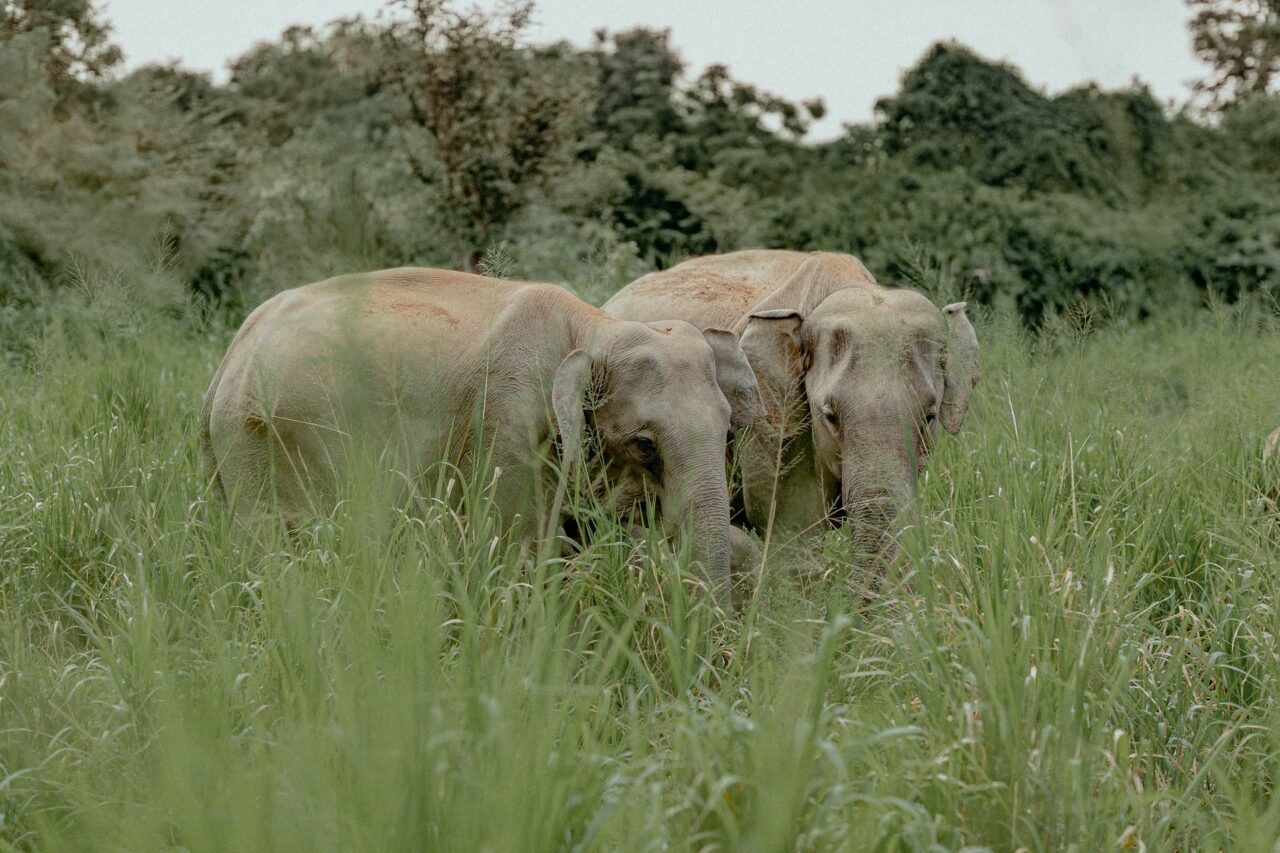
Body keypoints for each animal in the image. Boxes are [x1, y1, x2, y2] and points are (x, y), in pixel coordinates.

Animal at [200, 267, 762, 605]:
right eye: (644, 444)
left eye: (728, 431)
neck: (593, 327)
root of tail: (228, 357)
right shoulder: (506, 419)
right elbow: (516, 548)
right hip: (256, 443)